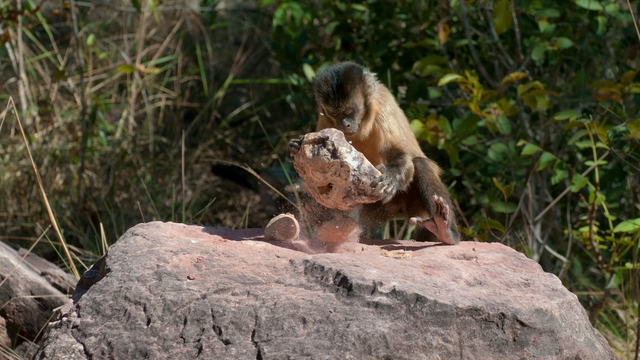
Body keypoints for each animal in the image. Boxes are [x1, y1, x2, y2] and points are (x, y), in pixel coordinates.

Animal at [290, 63, 460, 246]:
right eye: (335, 114)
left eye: (350, 111)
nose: (345, 124)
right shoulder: (325, 116)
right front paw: (295, 145)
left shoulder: (382, 106)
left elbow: (398, 152)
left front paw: (391, 178)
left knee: (421, 164)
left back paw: (444, 230)